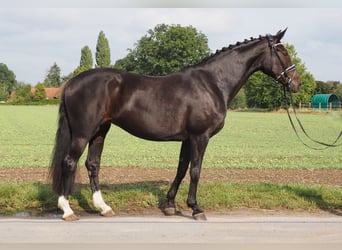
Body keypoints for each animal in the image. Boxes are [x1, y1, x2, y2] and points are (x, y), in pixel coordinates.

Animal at [49, 29, 300, 221]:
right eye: (282, 51)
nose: (296, 83)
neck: (212, 83)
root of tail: (71, 83)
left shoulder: (188, 139)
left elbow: (181, 169)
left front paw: (170, 205)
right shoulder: (200, 137)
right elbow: (196, 171)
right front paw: (196, 208)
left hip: (100, 131)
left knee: (92, 164)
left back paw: (104, 207)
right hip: (82, 133)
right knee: (69, 162)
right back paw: (67, 210)